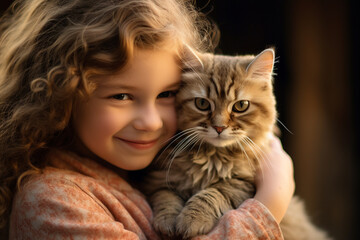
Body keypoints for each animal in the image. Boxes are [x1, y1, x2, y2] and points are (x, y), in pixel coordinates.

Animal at [141, 47, 332, 239]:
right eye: (202, 103)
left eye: (241, 106)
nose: (219, 127)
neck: (212, 157)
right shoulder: (159, 180)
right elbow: (166, 198)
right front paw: (168, 222)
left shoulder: (243, 183)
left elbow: (212, 193)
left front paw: (192, 219)